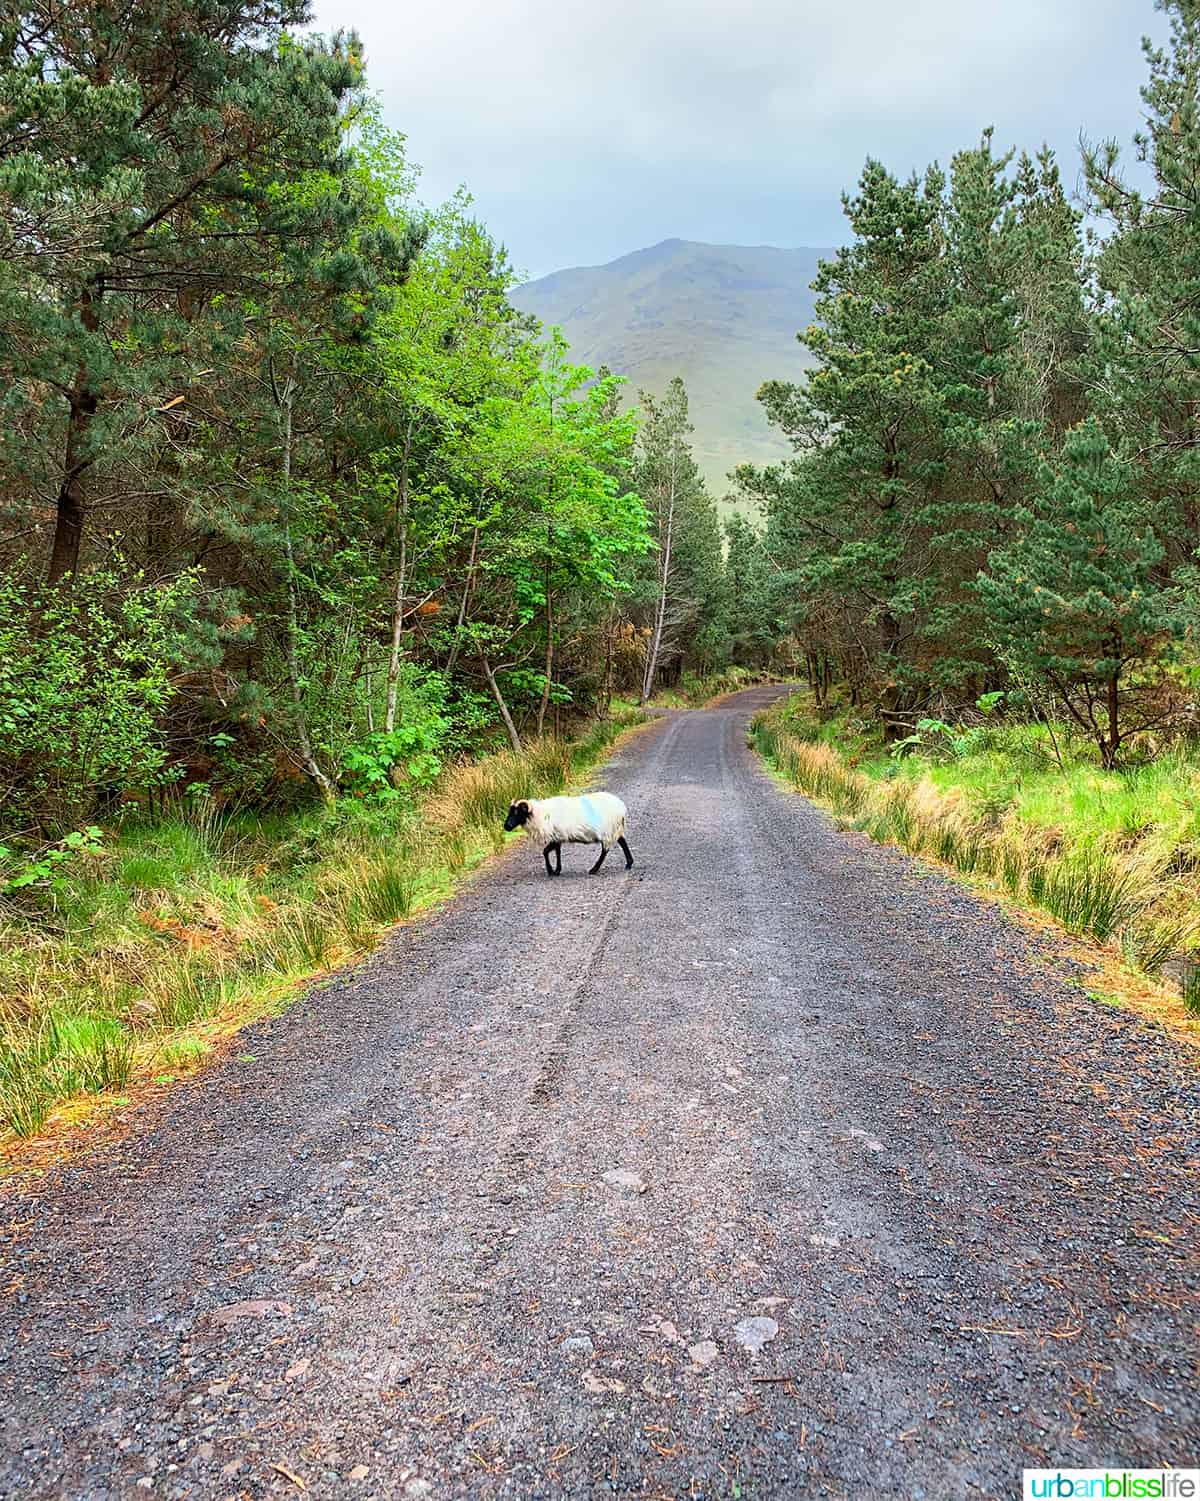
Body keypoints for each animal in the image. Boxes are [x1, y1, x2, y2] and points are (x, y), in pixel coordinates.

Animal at [501, 786, 633, 876]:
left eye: (517, 812)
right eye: (510, 811)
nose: (506, 826)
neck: (540, 814)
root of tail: (621, 807)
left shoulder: (555, 836)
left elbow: (545, 851)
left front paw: (551, 871)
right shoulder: (557, 836)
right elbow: (556, 852)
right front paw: (557, 870)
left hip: (608, 830)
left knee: (605, 850)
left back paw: (594, 869)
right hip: (615, 829)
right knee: (622, 841)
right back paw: (629, 863)